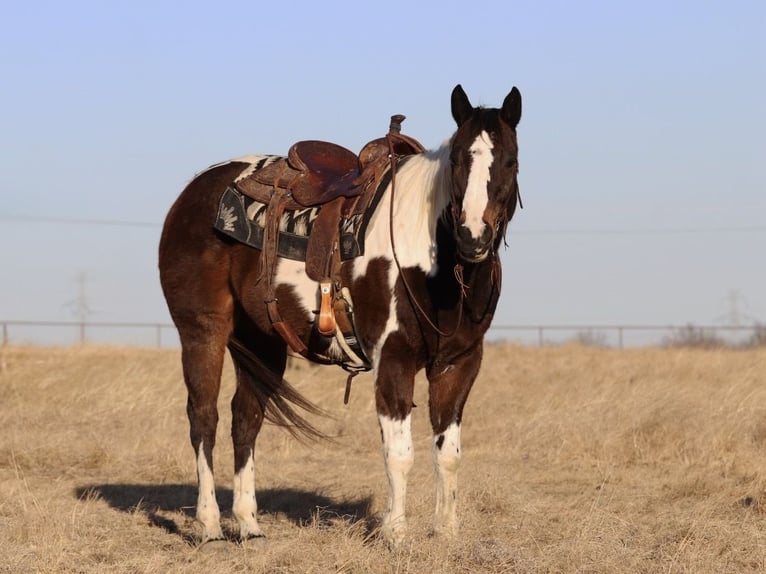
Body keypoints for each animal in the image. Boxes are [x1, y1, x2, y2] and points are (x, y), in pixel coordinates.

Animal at [158, 84, 522, 547]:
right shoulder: (393, 358)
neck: (434, 262)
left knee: (246, 419)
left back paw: (249, 525)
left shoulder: (458, 364)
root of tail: (192, 193)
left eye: (510, 160)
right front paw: (395, 534)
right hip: (203, 330)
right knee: (204, 417)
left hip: (263, 342)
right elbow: (399, 453)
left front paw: (446, 532)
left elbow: (449, 454)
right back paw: (209, 526)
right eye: (457, 160)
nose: (472, 237)